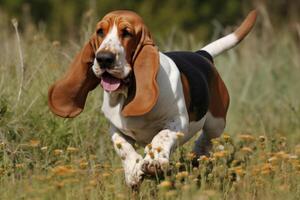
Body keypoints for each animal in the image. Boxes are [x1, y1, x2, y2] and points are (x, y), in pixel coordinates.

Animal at [48, 9, 256, 188]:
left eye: (127, 33)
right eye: (100, 31)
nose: (104, 58)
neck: (127, 92)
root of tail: (201, 55)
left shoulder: (177, 122)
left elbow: (160, 137)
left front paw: (153, 162)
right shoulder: (115, 128)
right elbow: (122, 147)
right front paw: (133, 170)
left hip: (216, 122)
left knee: (206, 139)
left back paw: (197, 154)